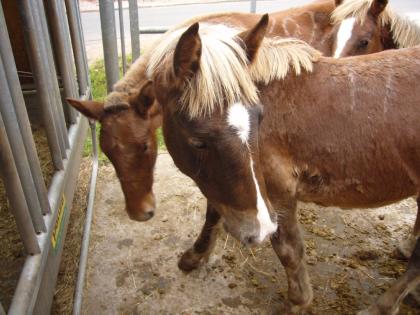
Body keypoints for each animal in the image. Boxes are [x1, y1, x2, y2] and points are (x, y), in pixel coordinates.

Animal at [139, 15, 420, 315]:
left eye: (259, 118)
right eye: (198, 142)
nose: (256, 232)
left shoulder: (275, 193)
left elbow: (288, 249)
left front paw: (298, 300)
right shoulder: (234, 190)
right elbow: (214, 213)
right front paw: (194, 256)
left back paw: (384, 305)